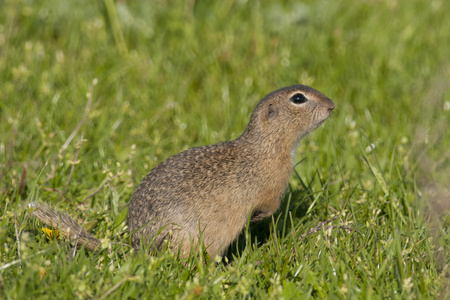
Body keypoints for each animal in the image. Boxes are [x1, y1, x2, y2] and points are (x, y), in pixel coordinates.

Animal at [31, 85, 334, 258]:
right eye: (298, 98)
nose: (332, 106)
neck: (267, 145)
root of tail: (136, 249)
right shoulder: (271, 188)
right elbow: (269, 206)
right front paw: (259, 218)